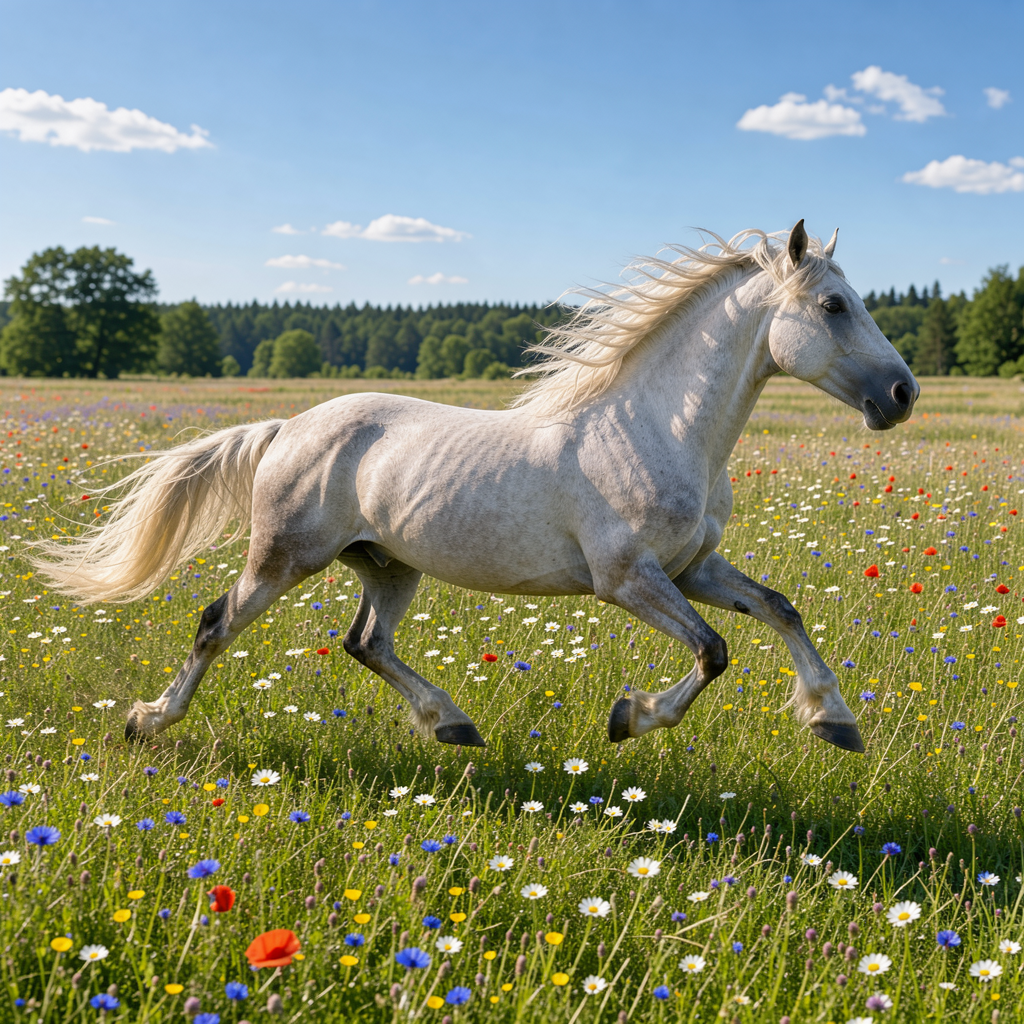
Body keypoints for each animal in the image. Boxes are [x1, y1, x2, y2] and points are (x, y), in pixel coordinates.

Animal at [33, 221, 918, 754]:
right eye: (833, 304)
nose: (902, 394)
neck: (658, 431)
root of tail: (287, 429)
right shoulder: (627, 579)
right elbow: (713, 650)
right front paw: (631, 717)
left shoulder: (694, 567)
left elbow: (779, 609)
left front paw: (835, 720)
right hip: (285, 555)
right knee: (217, 624)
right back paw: (148, 721)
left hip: (388, 564)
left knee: (366, 643)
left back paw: (452, 724)